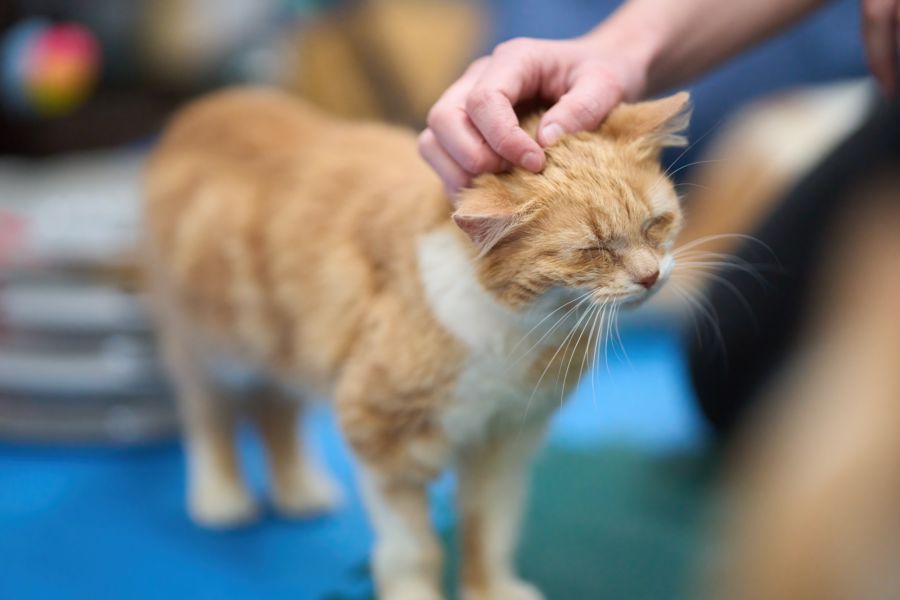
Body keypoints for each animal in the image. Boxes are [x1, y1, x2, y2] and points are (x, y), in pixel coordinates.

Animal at [143, 86, 690, 600]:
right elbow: (414, 547)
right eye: (592, 250)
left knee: (274, 409)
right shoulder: (381, 437)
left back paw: (299, 488)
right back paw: (221, 495)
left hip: (283, 345)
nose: (650, 277)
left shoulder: (505, 443)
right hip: (211, 348)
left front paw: (490, 589)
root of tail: (212, 104)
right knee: (210, 412)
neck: (518, 336)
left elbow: (488, 530)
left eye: (655, 224)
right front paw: (414, 590)